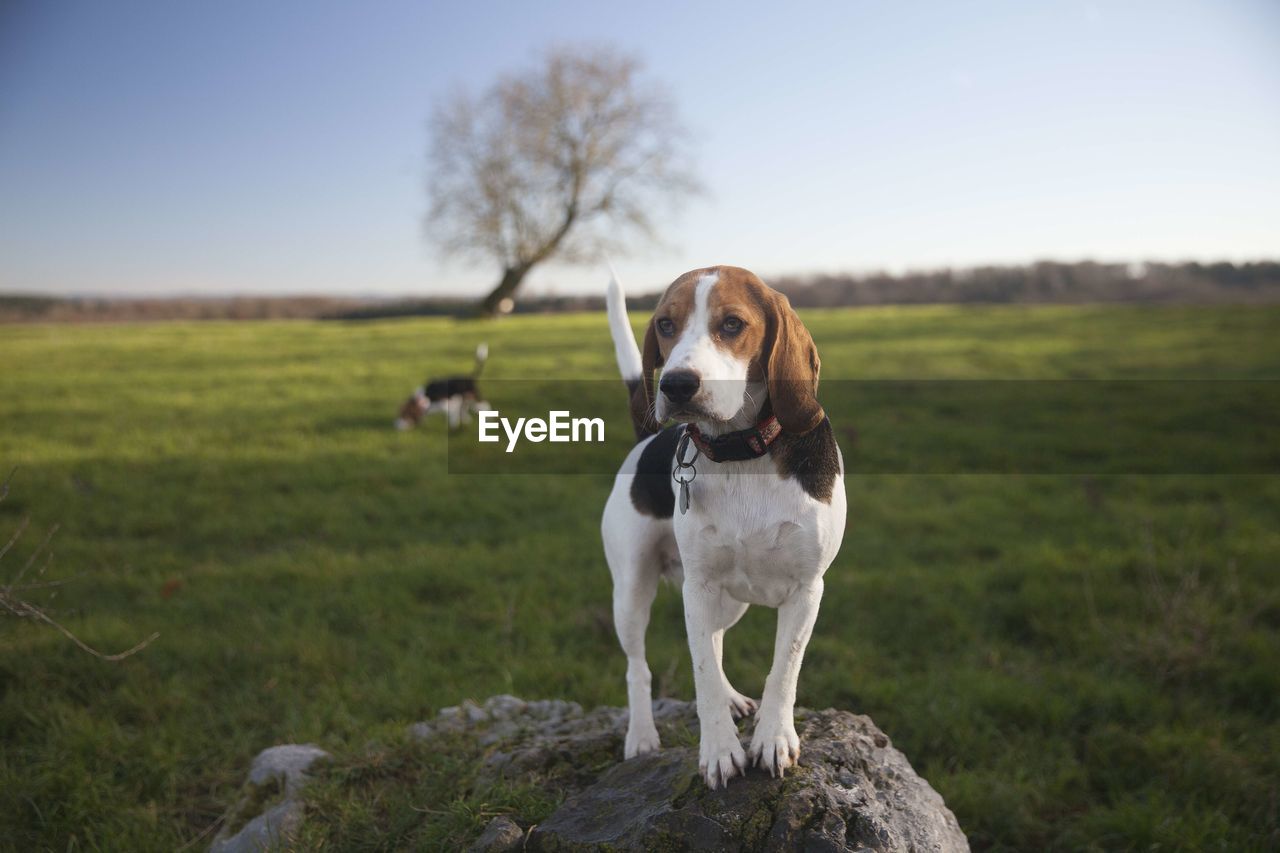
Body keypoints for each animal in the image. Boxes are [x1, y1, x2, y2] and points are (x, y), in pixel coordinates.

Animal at [601, 263, 844, 783]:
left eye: (732, 324)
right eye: (665, 325)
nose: (675, 385)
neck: (741, 452)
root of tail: (645, 439)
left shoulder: (807, 588)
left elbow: (783, 668)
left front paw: (773, 737)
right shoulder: (698, 585)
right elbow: (701, 673)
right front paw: (718, 749)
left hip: (730, 600)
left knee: (714, 638)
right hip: (632, 590)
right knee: (639, 667)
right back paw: (641, 735)